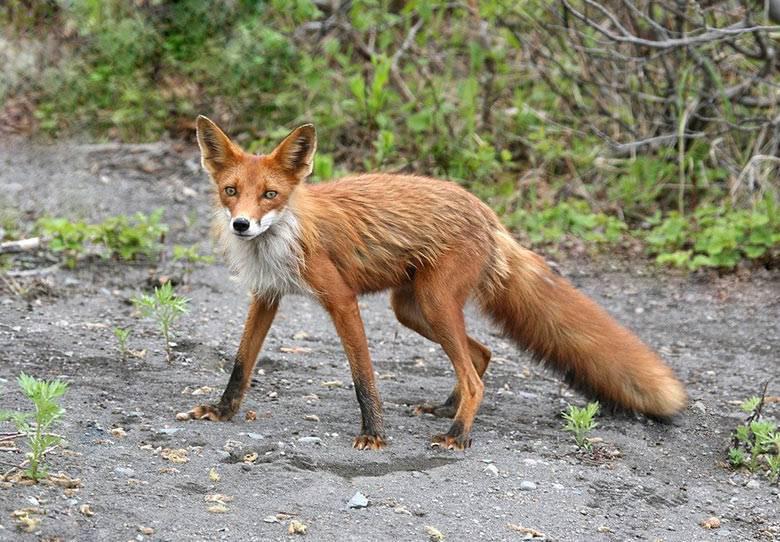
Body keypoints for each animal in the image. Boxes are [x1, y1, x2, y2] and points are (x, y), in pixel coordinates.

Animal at [177, 117, 688, 452]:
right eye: (230, 191)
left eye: (270, 195)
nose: (242, 225)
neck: (285, 235)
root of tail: (487, 213)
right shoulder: (266, 295)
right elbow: (241, 364)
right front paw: (222, 411)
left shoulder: (341, 300)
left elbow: (363, 376)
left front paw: (374, 434)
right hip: (413, 308)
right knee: (481, 355)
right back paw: (448, 410)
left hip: (435, 302)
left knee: (474, 374)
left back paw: (458, 434)